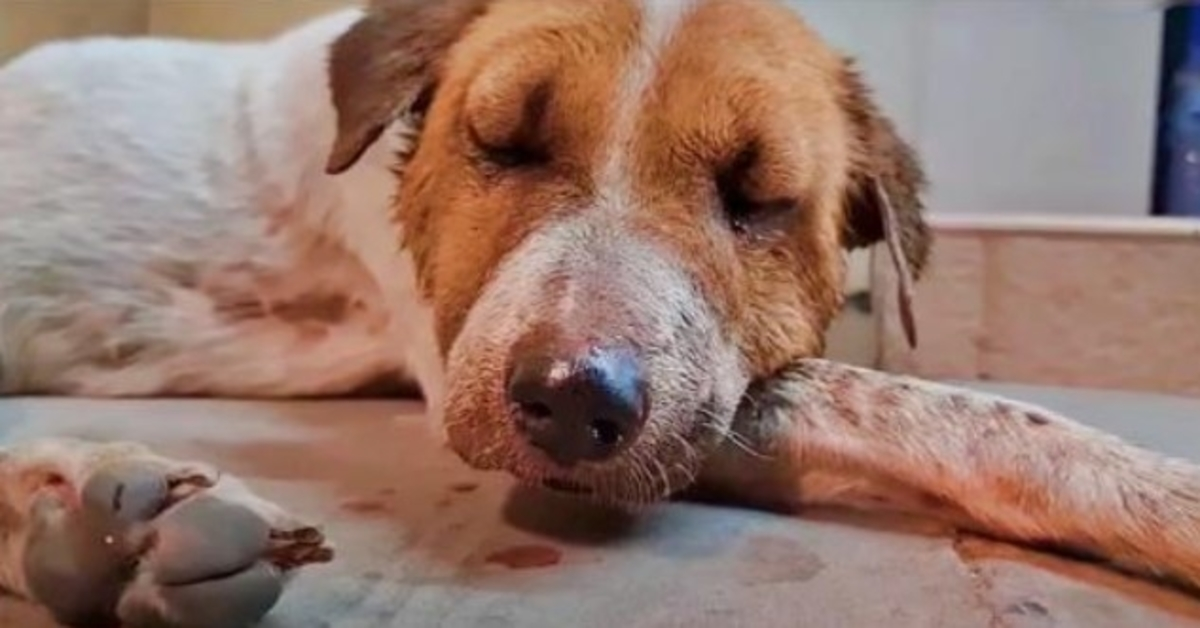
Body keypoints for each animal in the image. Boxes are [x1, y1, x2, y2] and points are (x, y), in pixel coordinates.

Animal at [2, 1, 1200, 624]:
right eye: (502, 141)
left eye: (758, 196)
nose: (574, 401)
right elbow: (960, 413)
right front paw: (1164, 497)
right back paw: (104, 511)